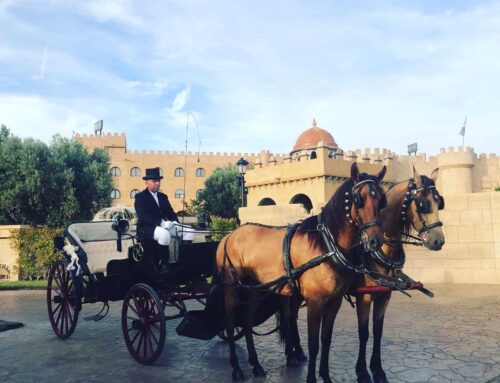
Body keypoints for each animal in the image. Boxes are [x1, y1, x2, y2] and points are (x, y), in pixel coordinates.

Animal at [215, 164, 386, 382]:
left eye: (381, 200)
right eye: (359, 199)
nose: (375, 241)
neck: (326, 244)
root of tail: (228, 236)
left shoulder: (335, 301)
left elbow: (326, 339)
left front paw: (325, 375)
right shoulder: (315, 302)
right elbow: (313, 344)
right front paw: (312, 377)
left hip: (254, 290)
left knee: (246, 323)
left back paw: (256, 365)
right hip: (231, 290)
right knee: (230, 325)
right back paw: (236, 368)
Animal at [356, 168, 446, 383]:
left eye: (439, 202)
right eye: (423, 204)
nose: (438, 240)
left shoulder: (384, 295)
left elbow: (377, 331)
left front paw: (378, 369)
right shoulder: (364, 296)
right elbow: (364, 333)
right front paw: (362, 371)